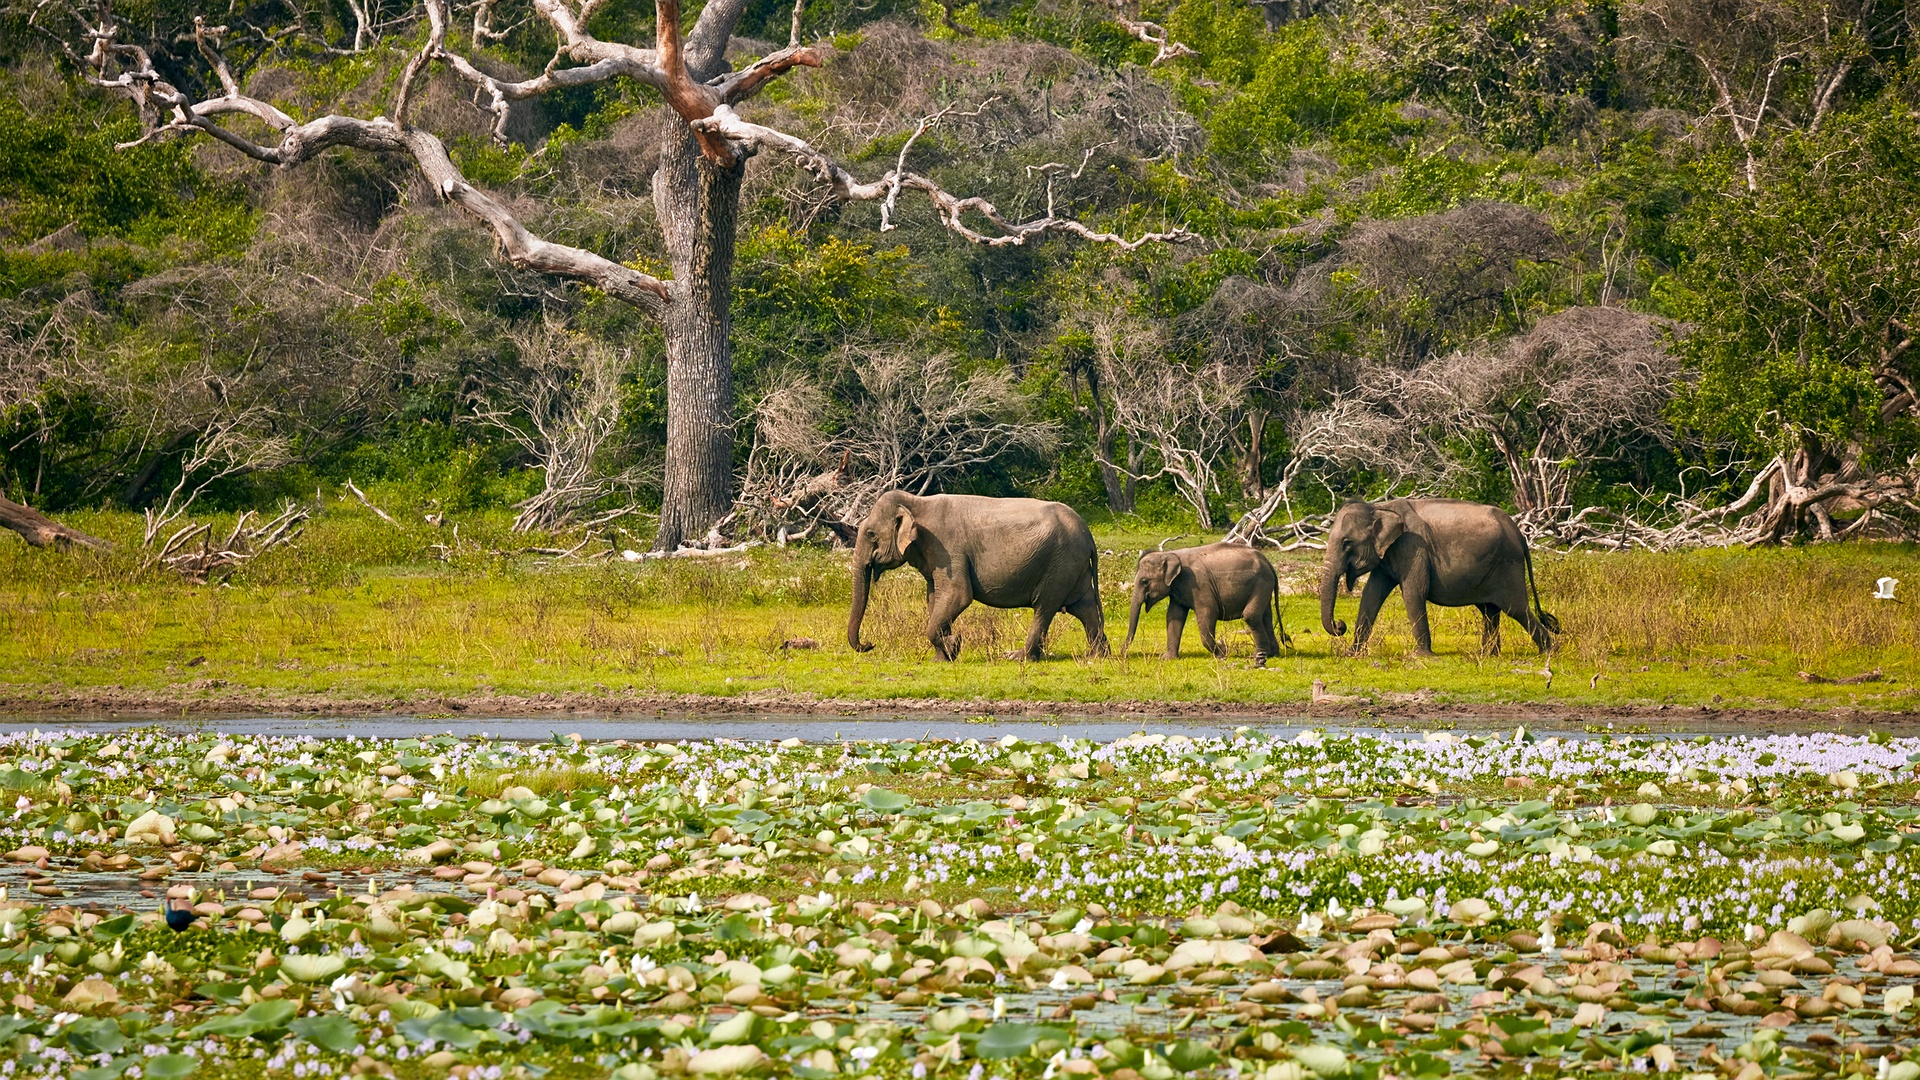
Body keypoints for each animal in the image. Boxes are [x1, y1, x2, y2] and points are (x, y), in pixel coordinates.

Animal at [847, 491, 1109, 661]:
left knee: (1045, 607)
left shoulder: (947, 548)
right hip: (1073, 566)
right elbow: (934, 598)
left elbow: (958, 595)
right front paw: (943, 657)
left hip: (1059, 564)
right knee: (1084, 607)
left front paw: (954, 645)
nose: (869, 644)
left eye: (870, 534)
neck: (915, 502)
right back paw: (1097, 655)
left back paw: (1016, 657)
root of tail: (1088, 535)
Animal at [1124, 542, 1292, 665]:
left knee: (1251, 616)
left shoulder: (1199, 584)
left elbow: (1208, 613)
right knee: (1266, 617)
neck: (1171, 554)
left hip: (1261, 584)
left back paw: (1257, 656)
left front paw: (1223, 653)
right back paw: (1272, 654)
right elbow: (1174, 616)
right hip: (1263, 587)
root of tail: (1268, 563)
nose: (1123, 653)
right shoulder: (1178, 590)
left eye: (1144, 581)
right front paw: (1167, 658)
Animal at [1318, 498, 1560, 656]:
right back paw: (1487, 655)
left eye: (1347, 543)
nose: (1340, 625)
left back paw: (1549, 652)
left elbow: (1413, 592)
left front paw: (1421, 657)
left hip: (1508, 564)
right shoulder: (1388, 553)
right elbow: (1371, 595)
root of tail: (1520, 534)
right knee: (1490, 610)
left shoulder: (1412, 547)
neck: (1378, 507)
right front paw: (1353, 654)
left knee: (1515, 609)